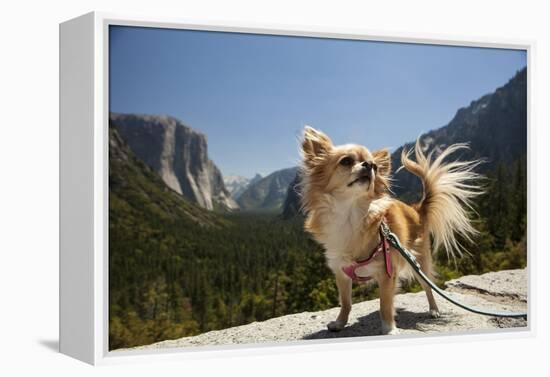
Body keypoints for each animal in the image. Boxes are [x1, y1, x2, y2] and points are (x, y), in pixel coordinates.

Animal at [302, 127, 484, 334]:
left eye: (375, 167)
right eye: (346, 161)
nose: (370, 165)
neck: (350, 214)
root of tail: (417, 209)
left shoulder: (387, 272)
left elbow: (385, 304)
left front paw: (389, 329)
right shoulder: (341, 272)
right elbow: (346, 302)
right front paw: (340, 323)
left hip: (419, 263)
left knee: (428, 287)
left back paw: (434, 310)